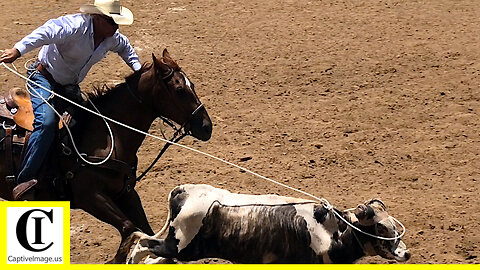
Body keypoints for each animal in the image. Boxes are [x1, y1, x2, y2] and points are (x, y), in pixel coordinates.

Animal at [0, 48, 212, 262]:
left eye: (192, 85)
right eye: (180, 90)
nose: (206, 127)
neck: (109, 134)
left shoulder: (126, 193)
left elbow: (146, 231)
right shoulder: (88, 196)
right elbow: (129, 228)